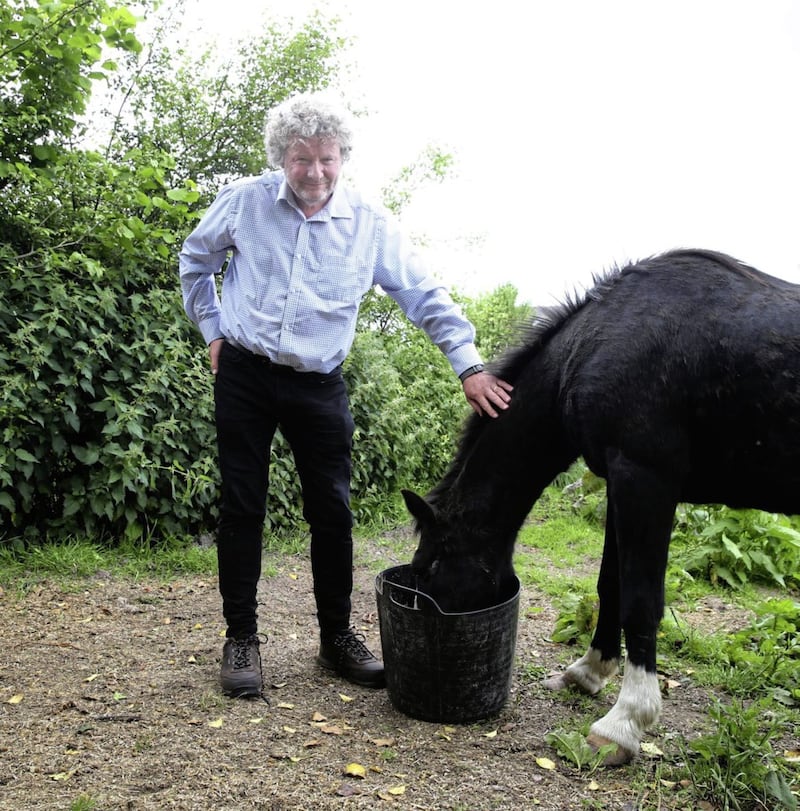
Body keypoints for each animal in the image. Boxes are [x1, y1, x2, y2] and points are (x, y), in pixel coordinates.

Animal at [404, 251, 800, 764]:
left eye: (431, 568)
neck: (593, 345)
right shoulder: (618, 480)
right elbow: (610, 583)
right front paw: (589, 671)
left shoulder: (645, 479)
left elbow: (640, 600)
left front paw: (624, 721)